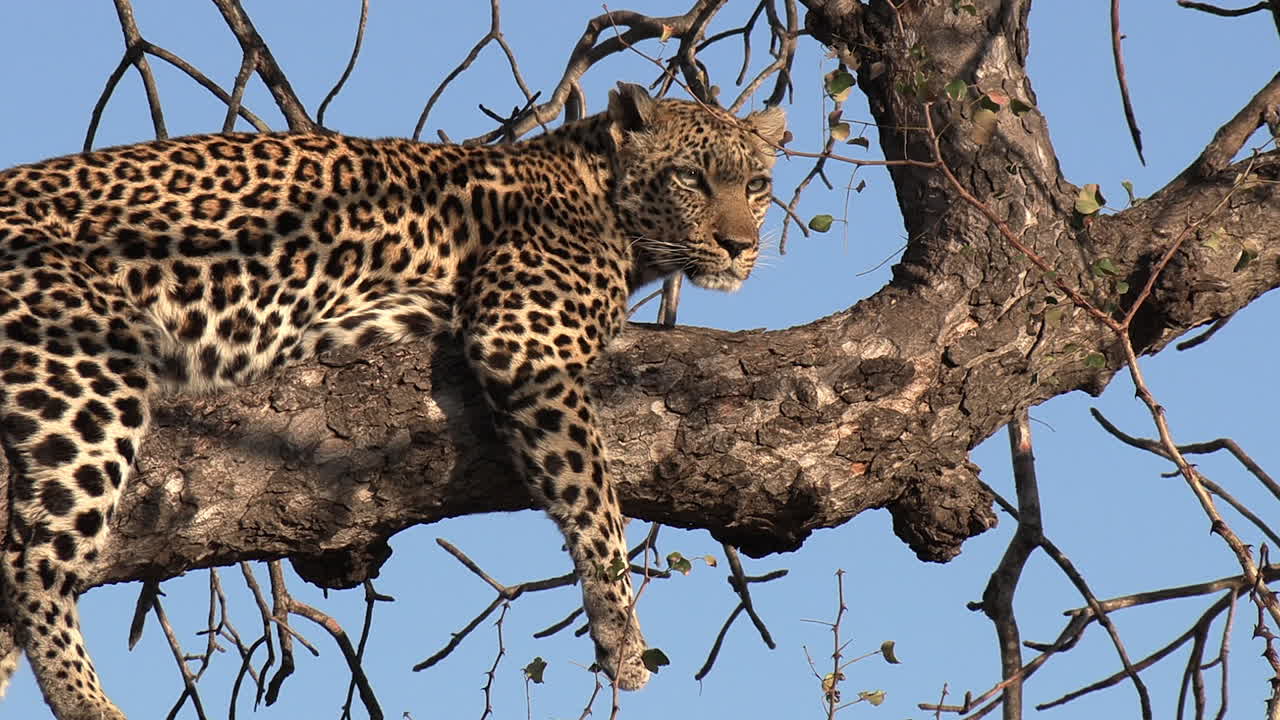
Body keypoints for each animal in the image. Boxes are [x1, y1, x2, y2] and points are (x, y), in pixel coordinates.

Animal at [0, 82, 785, 720]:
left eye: (758, 184)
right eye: (690, 178)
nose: (739, 246)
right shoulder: (525, 339)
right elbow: (595, 496)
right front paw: (621, 635)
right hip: (88, 362)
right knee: (32, 566)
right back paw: (89, 702)